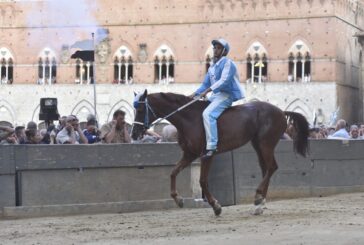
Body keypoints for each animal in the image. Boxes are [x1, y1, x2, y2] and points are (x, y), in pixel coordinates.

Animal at [132, 90, 308, 216]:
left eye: (140, 109)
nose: (134, 133)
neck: (190, 119)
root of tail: (281, 111)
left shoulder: (206, 154)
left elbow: (203, 181)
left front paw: (216, 206)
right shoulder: (189, 154)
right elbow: (173, 172)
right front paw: (178, 199)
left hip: (266, 144)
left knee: (272, 167)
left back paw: (258, 197)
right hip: (258, 145)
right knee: (266, 169)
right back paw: (260, 204)